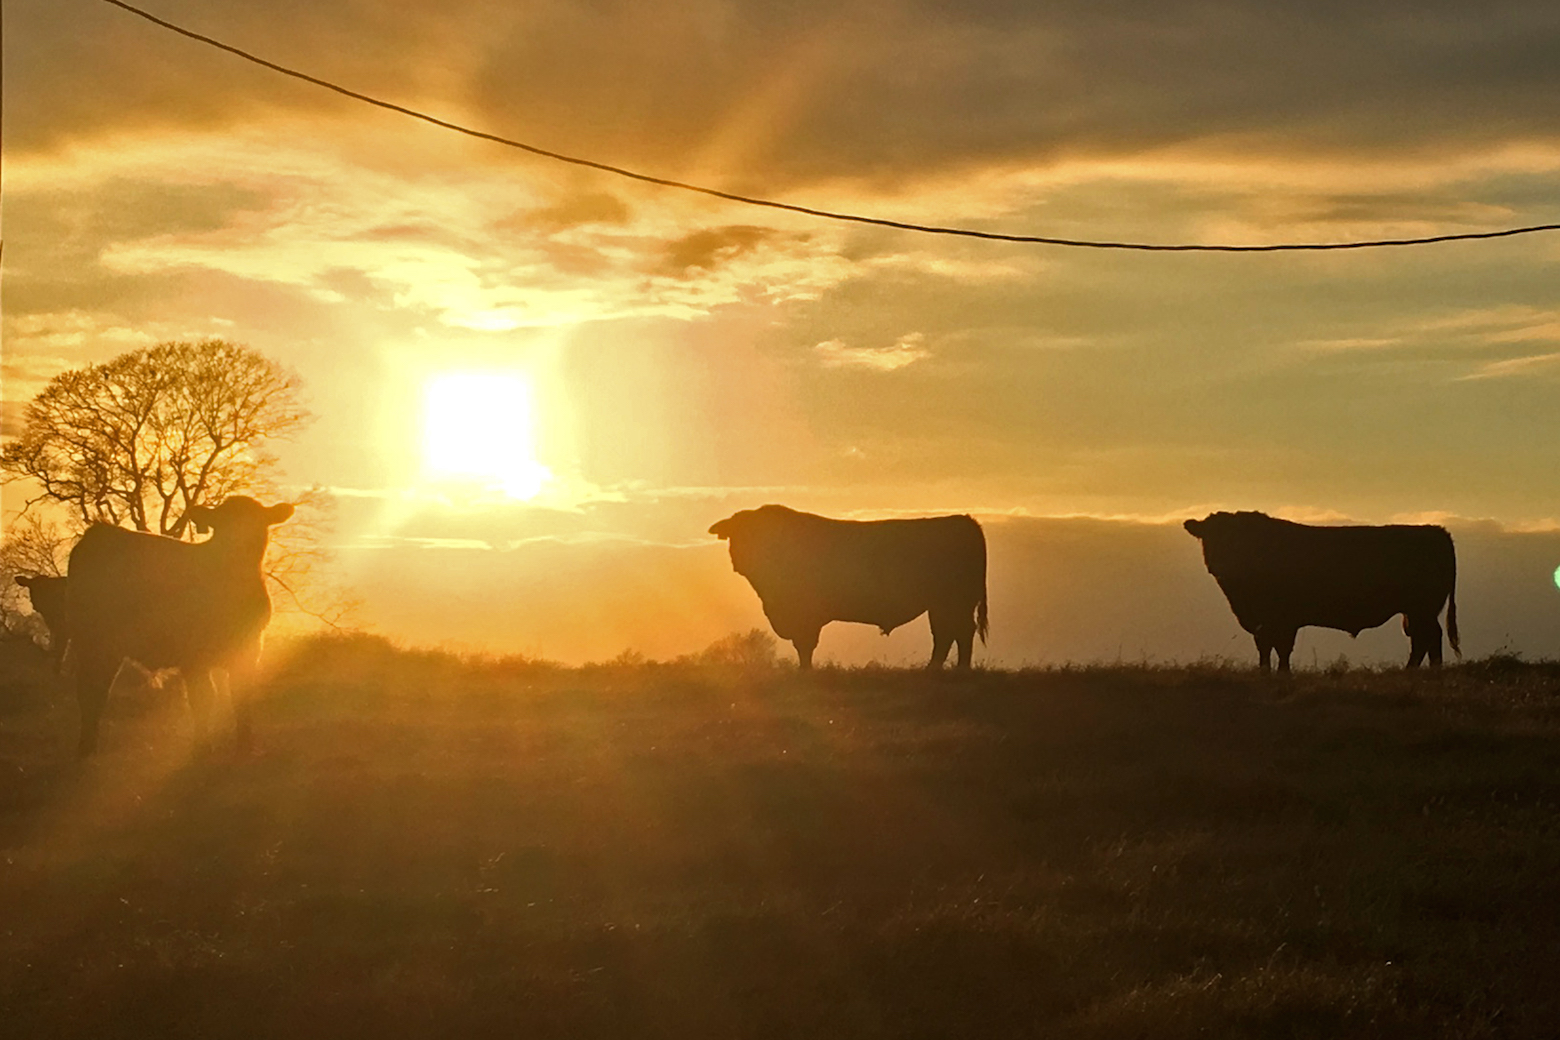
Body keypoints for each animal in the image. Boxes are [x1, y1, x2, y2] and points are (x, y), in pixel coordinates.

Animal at [67, 495, 293, 757]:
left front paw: (245, 746)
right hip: (89, 639)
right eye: (221, 524)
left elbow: (241, 698)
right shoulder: (194, 659)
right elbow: (203, 701)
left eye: (257, 522)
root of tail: (100, 531)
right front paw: (202, 750)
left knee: (98, 689)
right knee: (88, 690)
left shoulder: (249, 651)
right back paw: (86, 747)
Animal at [711, 505, 985, 670]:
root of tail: (965, 520)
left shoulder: (805, 614)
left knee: (959, 632)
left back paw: (959, 670)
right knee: (946, 634)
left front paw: (805, 672)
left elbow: (805, 644)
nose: (741, 557)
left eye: (756, 533)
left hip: (954, 602)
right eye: (735, 533)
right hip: (941, 605)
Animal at [1179, 511, 1460, 676]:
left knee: (1428, 637)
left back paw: (1421, 672)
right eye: (1208, 538)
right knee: (1424, 638)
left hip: (1422, 608)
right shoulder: (1261, 620)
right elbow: (1264, 646)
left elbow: (1282, 648)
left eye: (1236, 540)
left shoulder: (1284, 618)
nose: (1220, 565)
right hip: (1415, 611)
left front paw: (1283, 675)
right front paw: (1264, 673)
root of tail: (1436, 530)